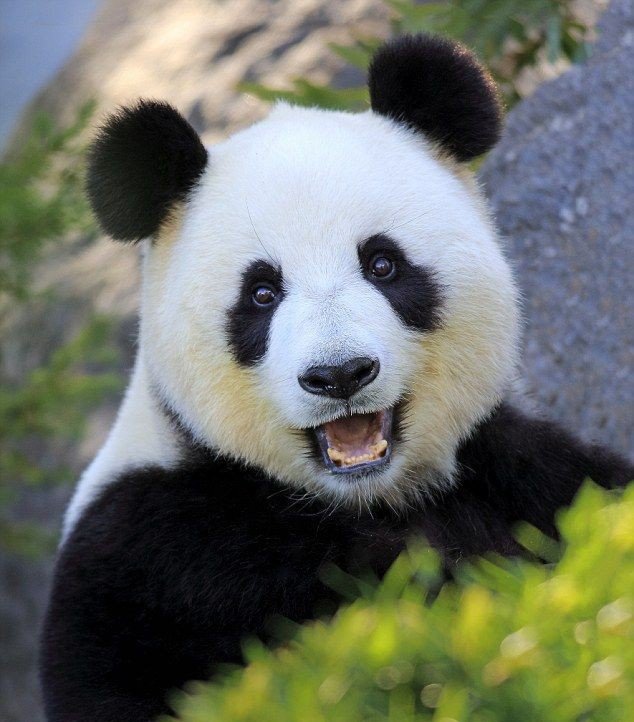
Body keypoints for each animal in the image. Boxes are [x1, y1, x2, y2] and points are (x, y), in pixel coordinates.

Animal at [40, 34, 632, 722]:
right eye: (262, 293)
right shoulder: (154, 554)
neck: (365, 497)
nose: (339, 374)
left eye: (382, 264)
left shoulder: (515, 464)